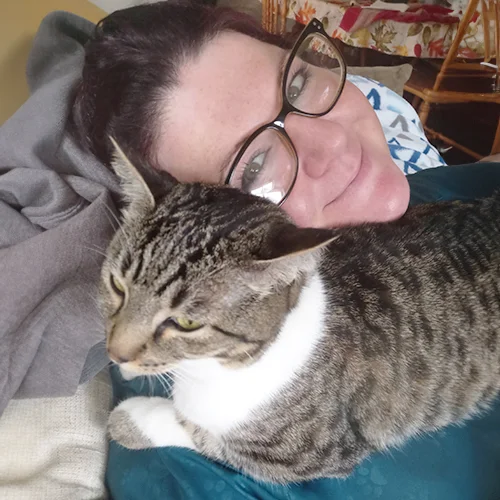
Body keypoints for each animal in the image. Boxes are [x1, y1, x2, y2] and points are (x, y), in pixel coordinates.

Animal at [103, 144, 500, 484]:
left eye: (187, 323)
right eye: (117, 286)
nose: (115, 353)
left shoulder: (310, 454)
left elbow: (208, 436)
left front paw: (132, 418)